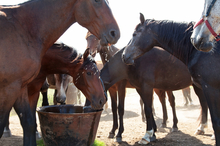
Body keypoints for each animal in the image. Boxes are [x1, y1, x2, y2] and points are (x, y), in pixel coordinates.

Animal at [122, 13, 220, 145]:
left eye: (134, 34)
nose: (124, 55)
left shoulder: (212, 88)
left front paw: (147, 135)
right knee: (203, 104)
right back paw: (201, 128)